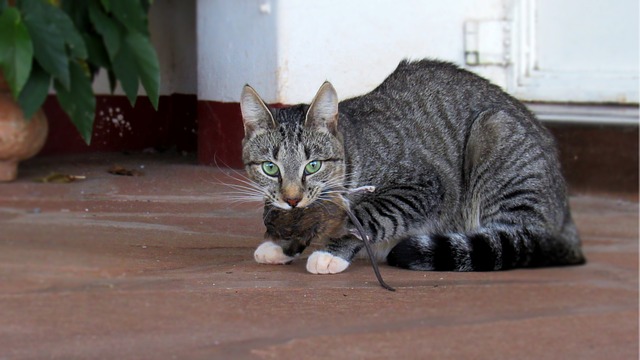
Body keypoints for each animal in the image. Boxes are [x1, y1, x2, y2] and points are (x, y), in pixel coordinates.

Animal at [239, 59, 584, 272]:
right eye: (270, 168)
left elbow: (368, 215)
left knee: (519, 238)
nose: (292, 198)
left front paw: (329, 252)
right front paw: (281, 244)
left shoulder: (423, 185)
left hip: (495, 133)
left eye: (313, 166)